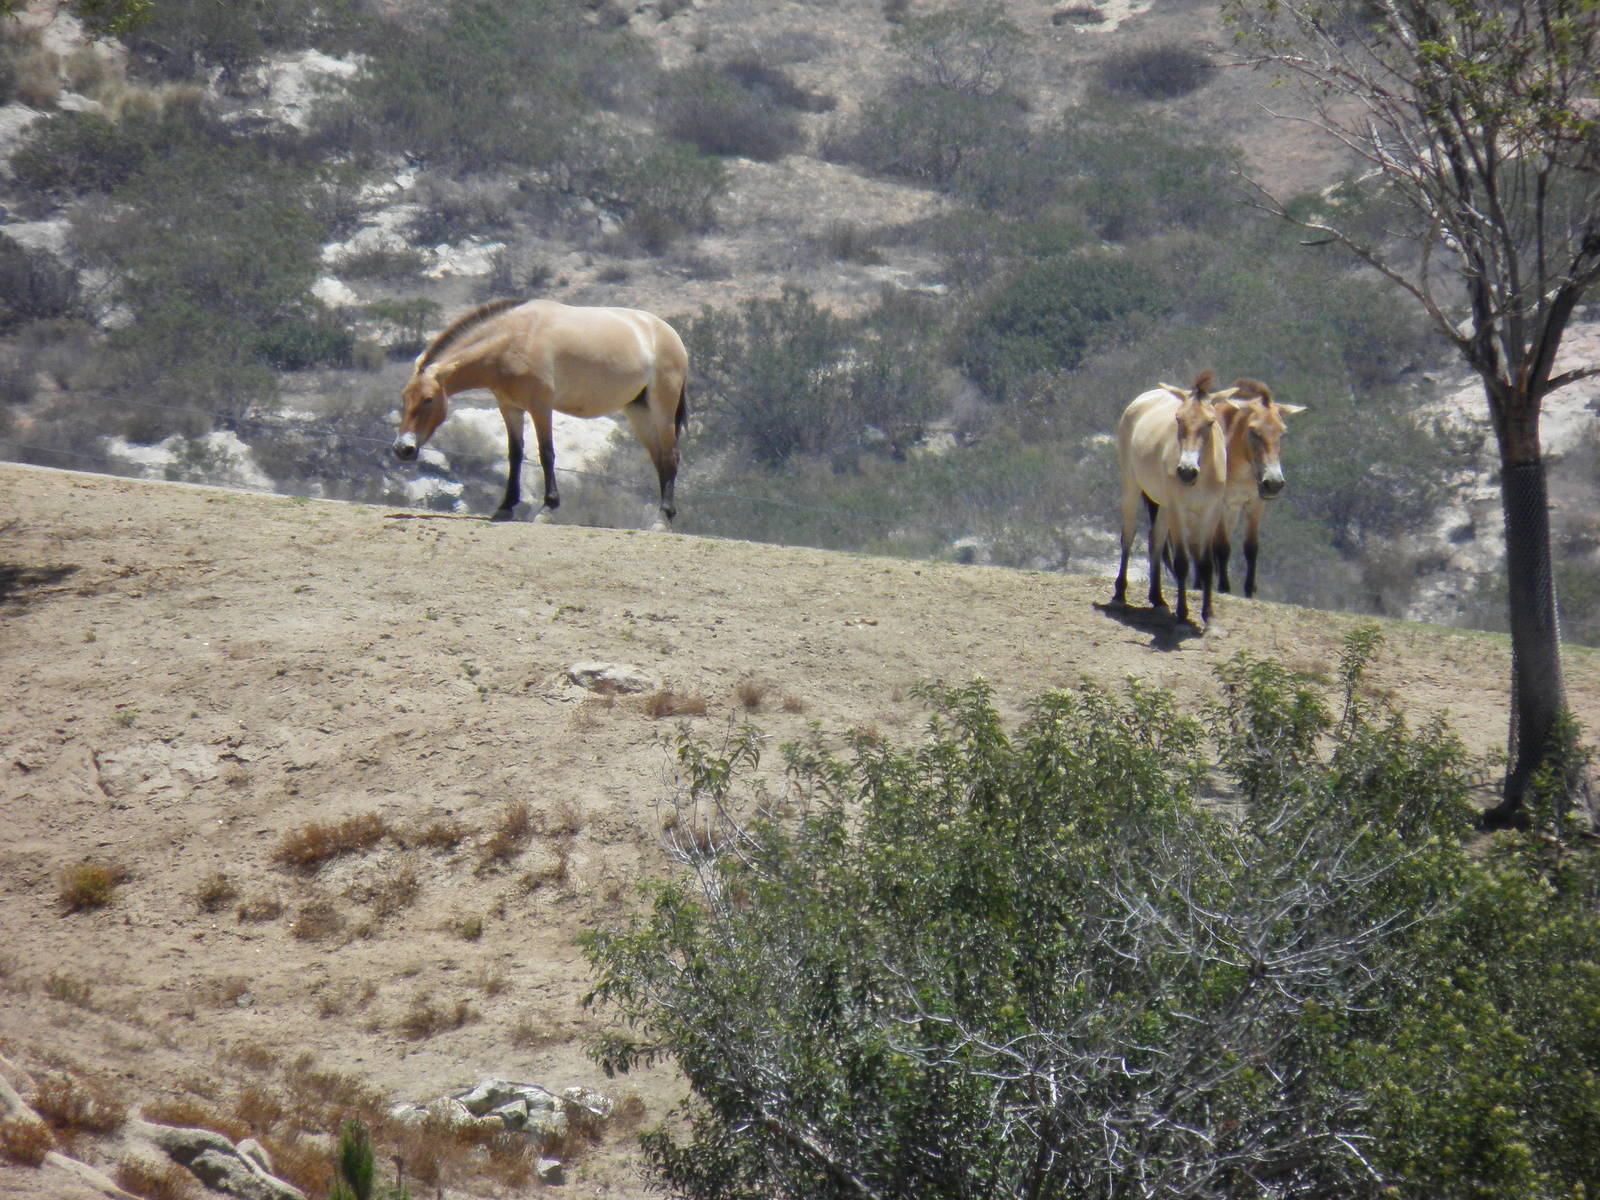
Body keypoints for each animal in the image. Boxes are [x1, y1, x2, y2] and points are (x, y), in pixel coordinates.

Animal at [392, 298, 689, 528]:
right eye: (404, 397)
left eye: (428, 399)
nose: (402, 449)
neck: (514, 337)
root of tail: (668, 333)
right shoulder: (510, 407)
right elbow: (515, 453)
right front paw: (505, 506)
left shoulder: (540, 406)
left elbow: (546, 453)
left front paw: (547, 509)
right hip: (638, 411)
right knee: (659, 460)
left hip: (661, 409)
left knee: (670, 457)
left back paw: (662, 519)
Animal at [1111, 370, 1239, 630]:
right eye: (1179, 419)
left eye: (1211, 422)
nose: (1186, 471)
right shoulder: (1178, 511)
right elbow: (1182, 562)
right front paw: (1182, 615)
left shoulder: (1211, 512)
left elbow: (1206, 564)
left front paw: (1209, 617)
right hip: (1133, 487)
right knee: (1128, 535)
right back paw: (1120, 594)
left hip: (1162, 505)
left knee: (1155, 540)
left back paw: (1157, 598)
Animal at [1212, 378, 1305, 597]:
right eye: (1253, 431)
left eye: (1282, 432)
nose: (1273, 483)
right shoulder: (1221, 503)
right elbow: (1222, 546)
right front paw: (1224, 588)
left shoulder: (1254, 503)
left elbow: (1251, 547)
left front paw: (1249, 590)